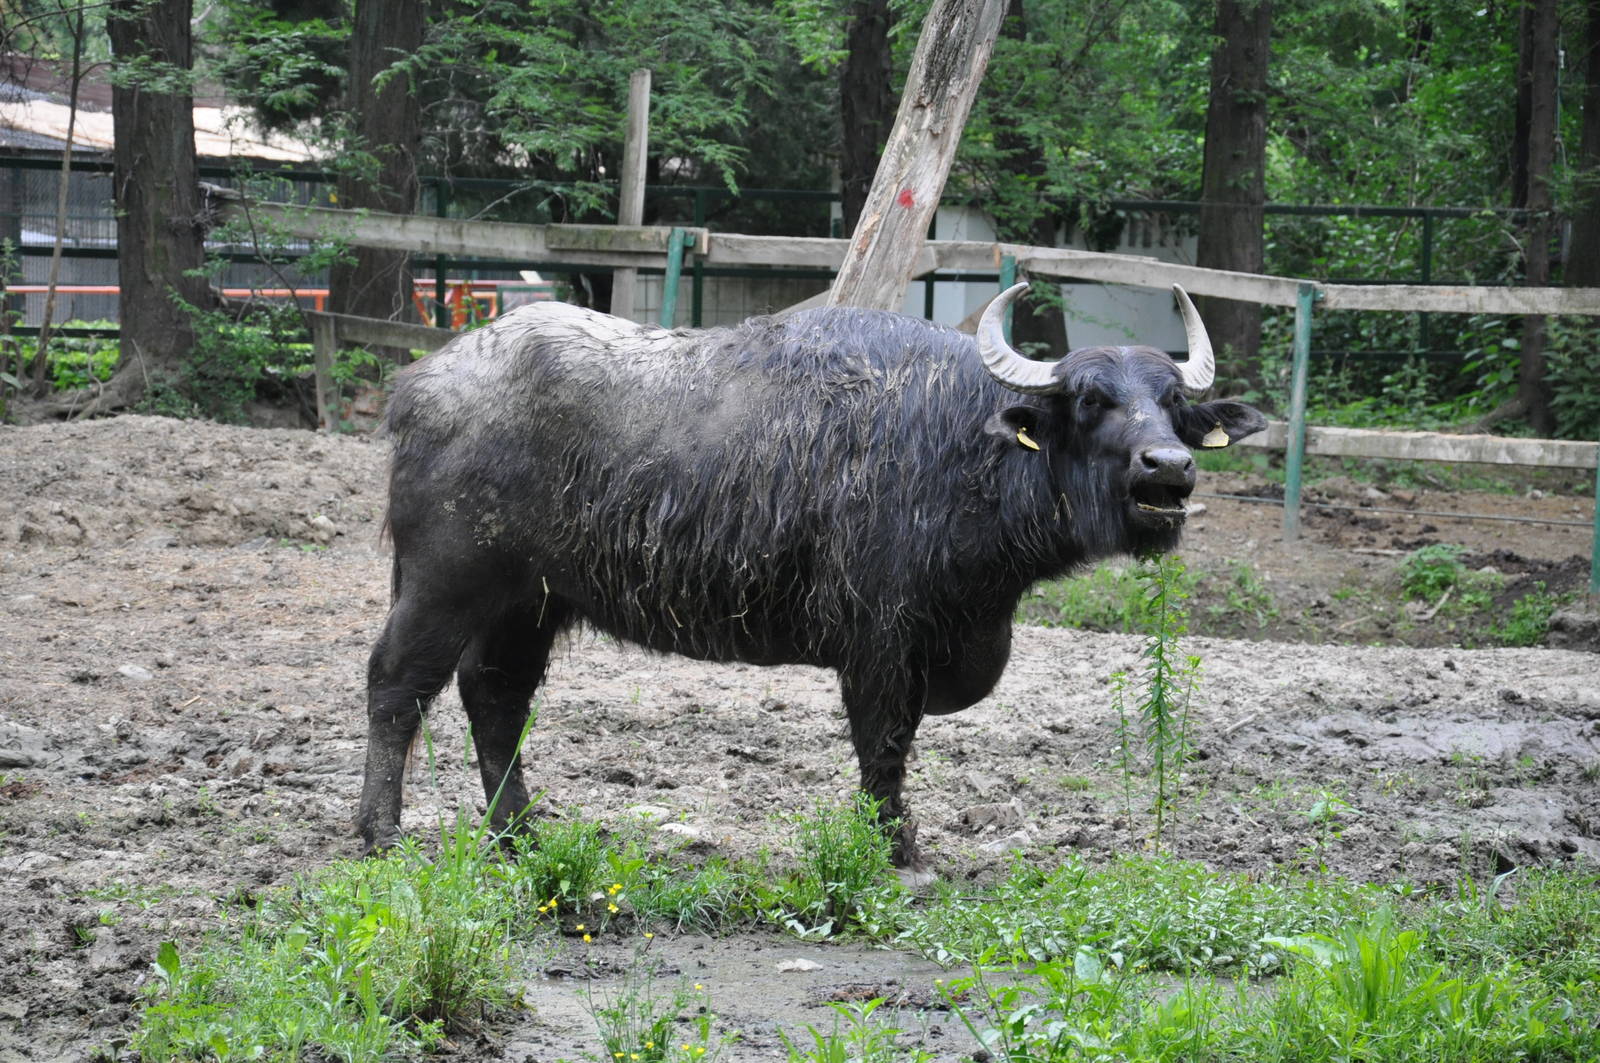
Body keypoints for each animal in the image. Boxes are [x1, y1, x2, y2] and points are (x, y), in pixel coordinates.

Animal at [359, 283, 1266, 872]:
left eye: (1173, 404)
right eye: (1090, 400)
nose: (1168, 467)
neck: (956, 442)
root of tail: (419, 386)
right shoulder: (879, 642)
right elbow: (883, 744)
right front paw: (896, 846)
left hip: (526, 605)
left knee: (494, 698)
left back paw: (519, 835)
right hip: (444, 585)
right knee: (397, 685)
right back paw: (379, 834)